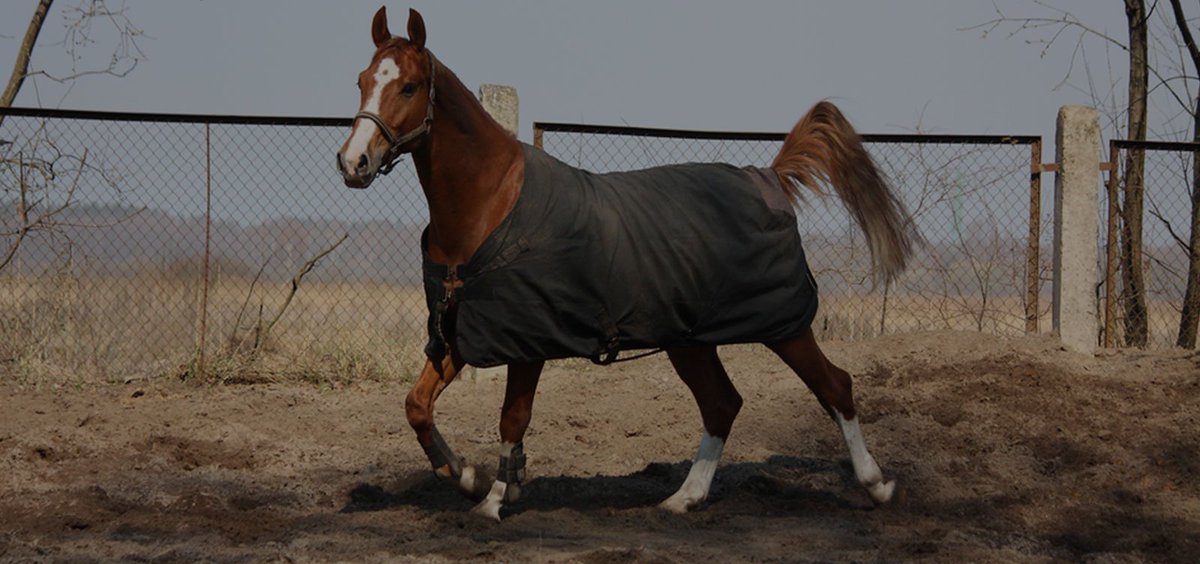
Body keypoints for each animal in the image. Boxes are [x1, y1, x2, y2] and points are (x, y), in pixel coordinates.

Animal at [337, 7, 917, 521]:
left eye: (409, 86)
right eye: (363, 79)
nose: (353, 163)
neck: (488, 204)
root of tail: (769, 176)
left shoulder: (527, 341)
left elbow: (512, 418)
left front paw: (495, 498)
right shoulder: (464, 329)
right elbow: (416, 405)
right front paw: (466, 475)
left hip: (783, 327)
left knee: (834, 387)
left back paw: (878, 486)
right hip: (691, 339)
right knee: (723, 404)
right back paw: (683, 499)